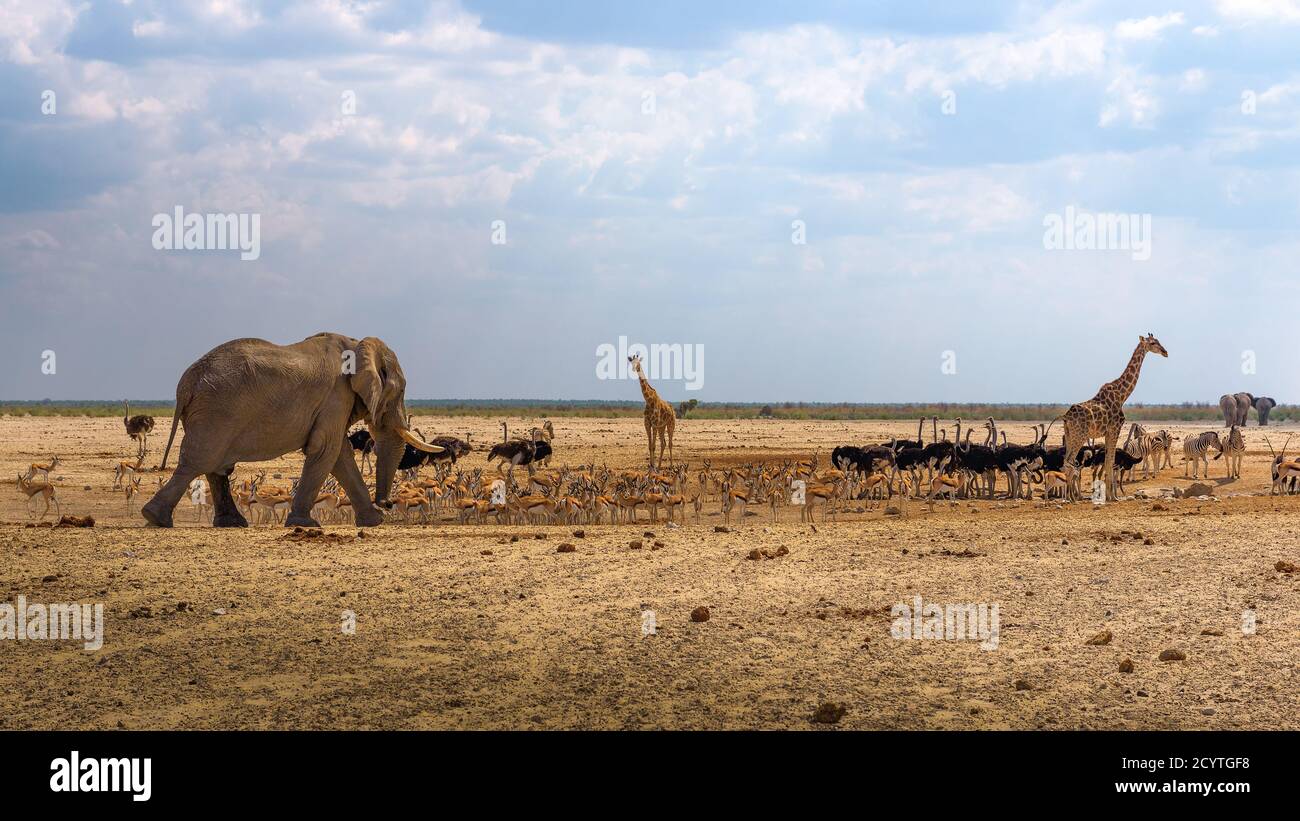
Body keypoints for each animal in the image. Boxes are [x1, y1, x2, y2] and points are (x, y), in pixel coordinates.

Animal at [140, 332, 439, 530]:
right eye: (400, 390)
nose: (386, 503)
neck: (357, 344)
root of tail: (186, 383)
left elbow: (339, 454)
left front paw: (374, 522)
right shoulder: (335, 397)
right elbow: (326, 450)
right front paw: (306, 524)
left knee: (216, 467)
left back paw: (232, 524)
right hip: (216, 412)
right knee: (200, 461)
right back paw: (156, 519)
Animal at [1055, 332, 1170, 501]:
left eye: (1158, 341)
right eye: (1153, 343)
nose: (1165, 352)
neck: (1123, 395)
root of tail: (1066, 417)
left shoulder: (1108, 432)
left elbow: (1109, 462)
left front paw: (1109, 496)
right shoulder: (1115, 428)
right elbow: (1110, 461)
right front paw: (1112, 497)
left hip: (1069, 435)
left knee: (1066, 462)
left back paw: (1070, 496)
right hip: (1079, 435)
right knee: (1069, 462)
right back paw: (1072, 498)